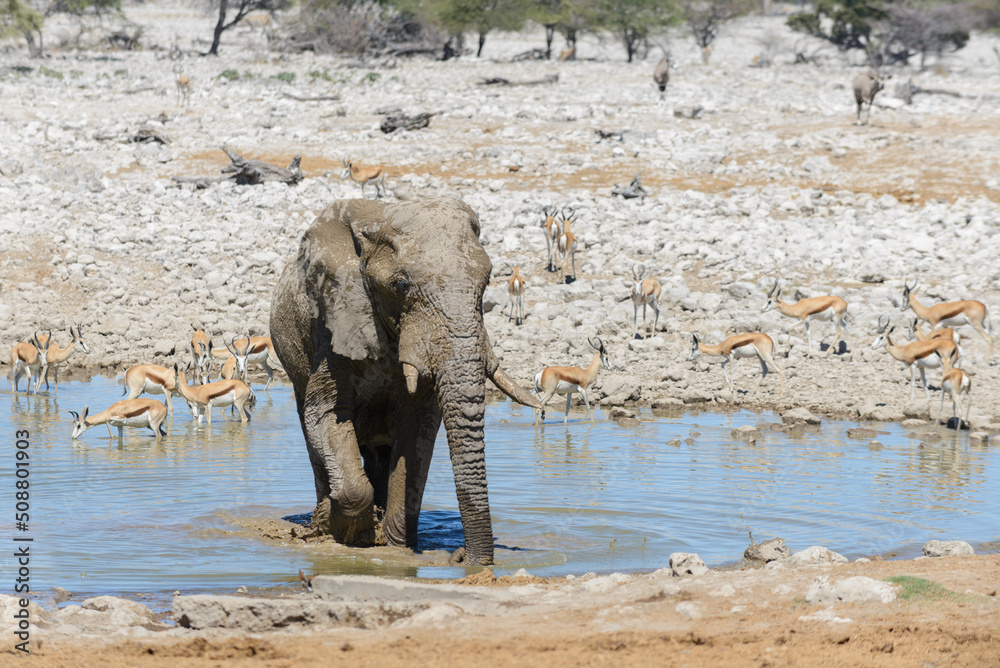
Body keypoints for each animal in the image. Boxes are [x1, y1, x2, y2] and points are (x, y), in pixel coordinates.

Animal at [270, 197, 542, 565]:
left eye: (486, 281)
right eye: (400, 285)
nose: (460, 557)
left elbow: (416, 430)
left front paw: (395, 546)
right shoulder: (331, 322)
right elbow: (326, 413)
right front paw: (343, 532)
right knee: (314, 440)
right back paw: (320, 521)